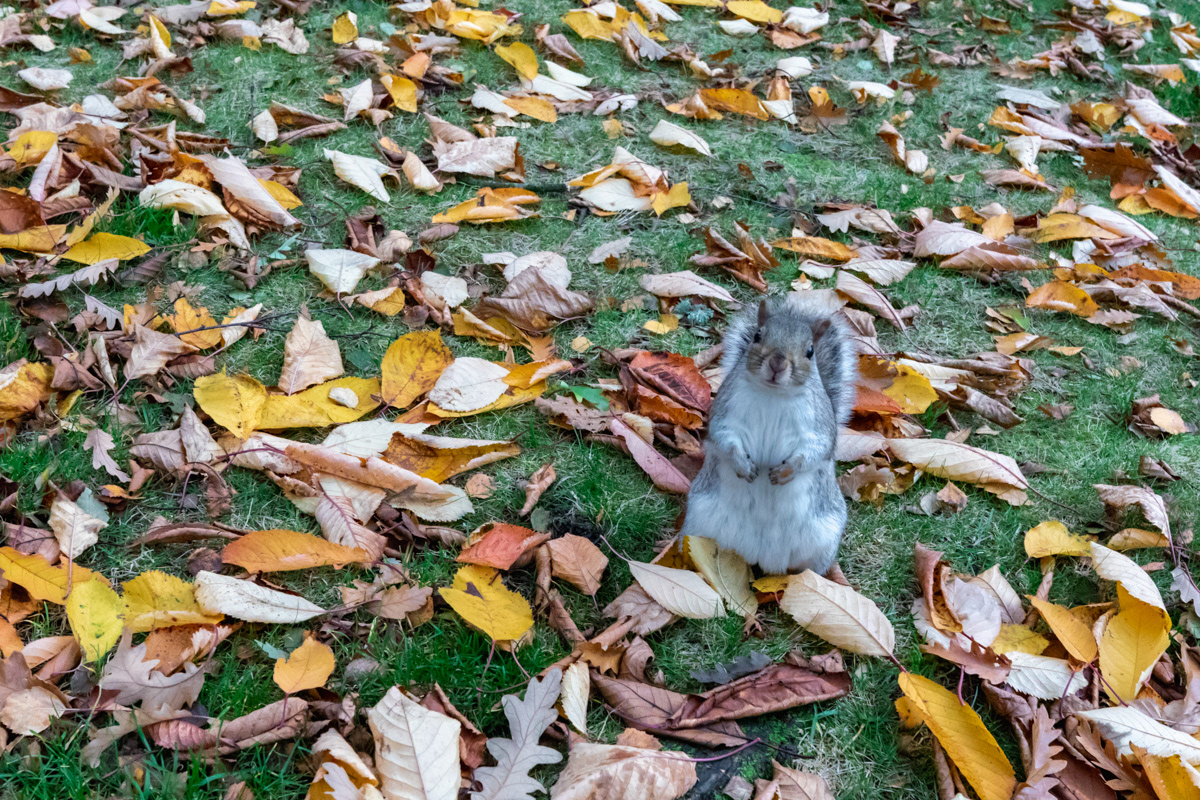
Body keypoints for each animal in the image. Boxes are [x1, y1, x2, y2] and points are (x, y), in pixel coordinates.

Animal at [680, 295, 858, 578]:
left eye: (810, 351)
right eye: (757, 335)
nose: (778, 363)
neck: (773, 394)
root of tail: (762, 558)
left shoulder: (818, 427)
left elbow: (816, 450)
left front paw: (786, 471)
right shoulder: (725, 414)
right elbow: (724, 439)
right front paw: (743, 465)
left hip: (822, 538)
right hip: (699, 519)